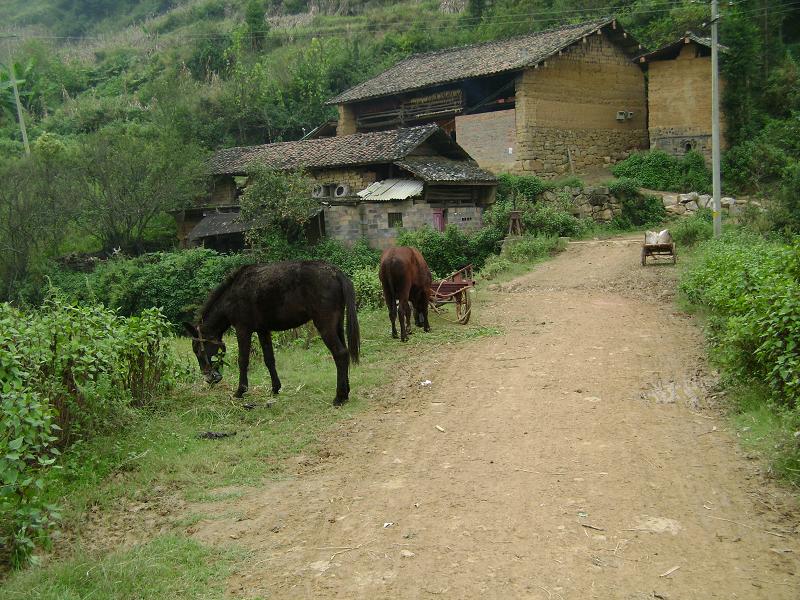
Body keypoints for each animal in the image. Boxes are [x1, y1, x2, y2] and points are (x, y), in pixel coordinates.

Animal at [184, 260, 360, 406]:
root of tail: (335, 272)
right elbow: (269, 359)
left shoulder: (243, 330)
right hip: (337, 325)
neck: (232, 297)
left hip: (325, 325)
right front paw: (275, 388)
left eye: (198, 350)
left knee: (340, 353)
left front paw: (240, 391)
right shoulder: (263, 330)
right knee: (344, 354)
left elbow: (243, 360)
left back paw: (339, 397)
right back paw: (346, 393)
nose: (208, 378)